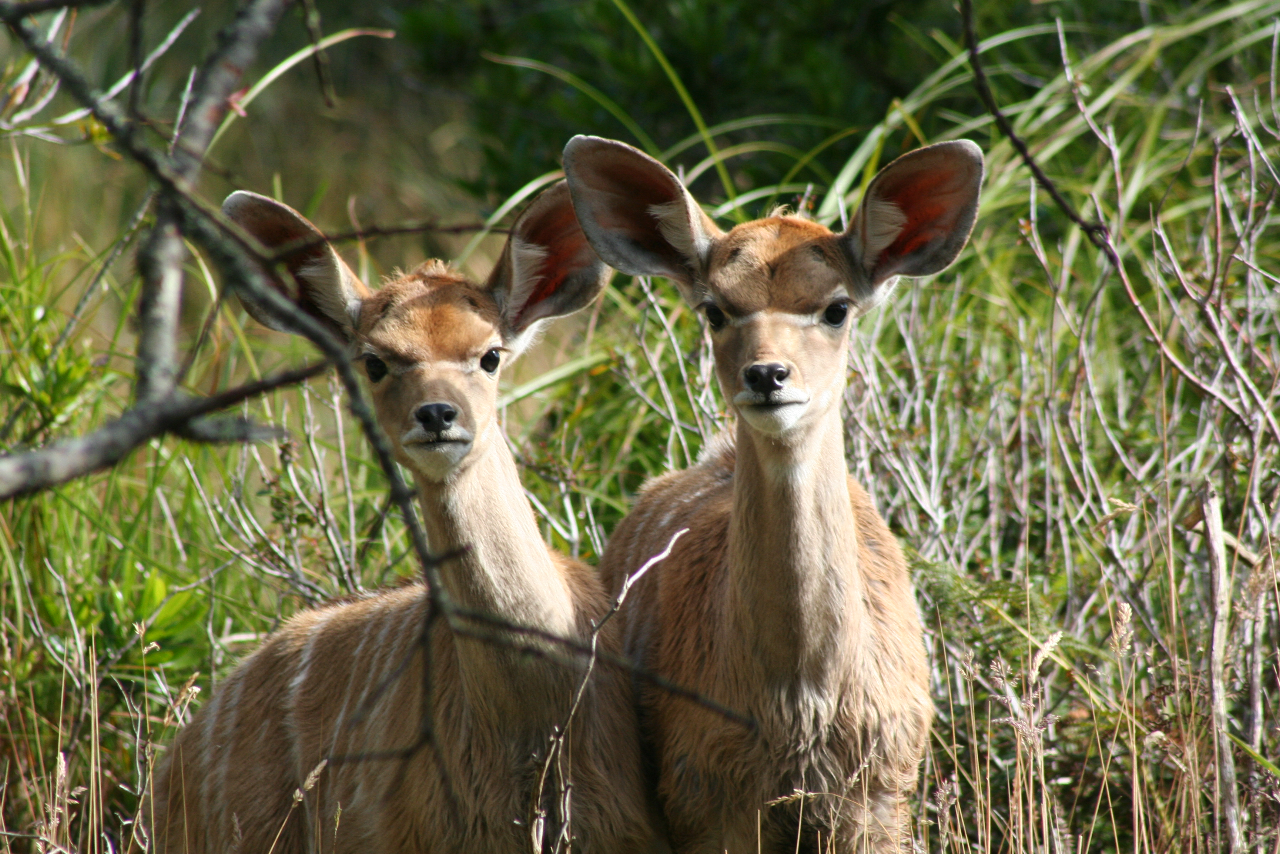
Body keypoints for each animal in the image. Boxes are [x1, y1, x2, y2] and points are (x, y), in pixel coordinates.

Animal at [563, 135, 983, 852]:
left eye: (837, 307)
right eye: (715, 309)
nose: (767, 375)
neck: (800, 701)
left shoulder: (880, 795)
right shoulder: (706, 797)